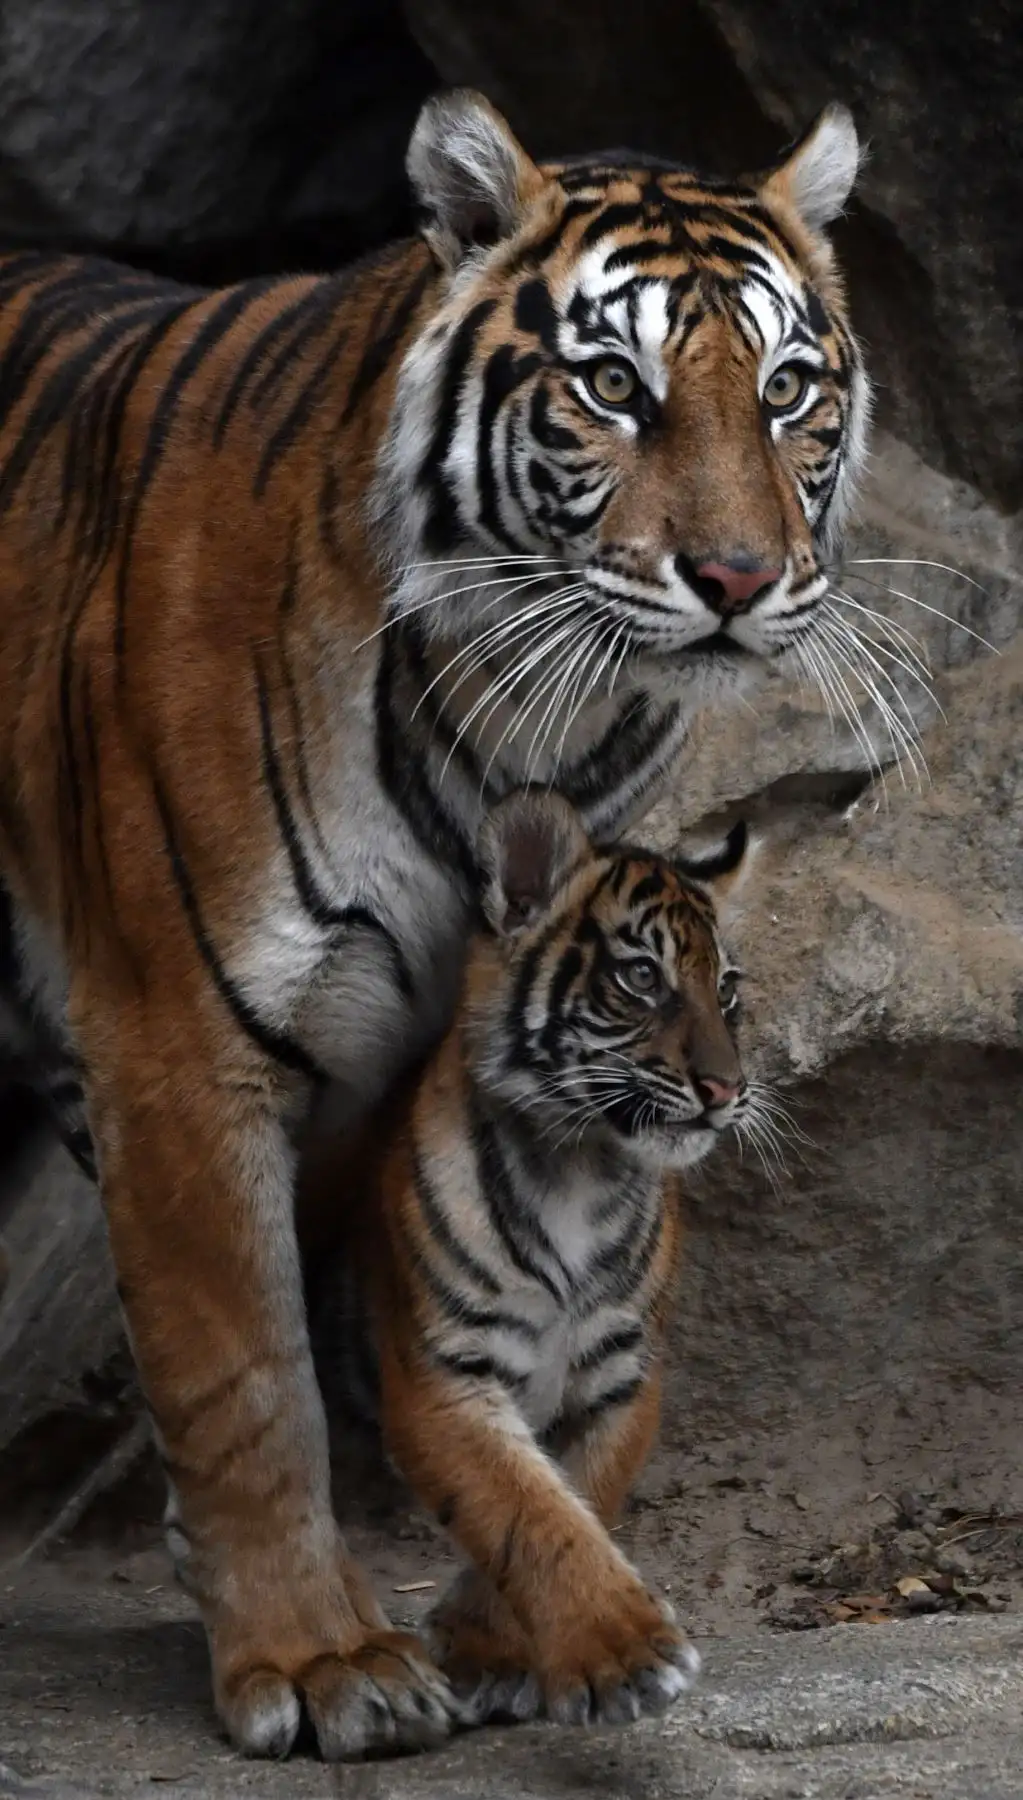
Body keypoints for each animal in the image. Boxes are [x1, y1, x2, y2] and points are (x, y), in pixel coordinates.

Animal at [306, 788, 751, 1730]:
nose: (728, 1091)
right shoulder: (440, 1373)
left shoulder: (623, 1377)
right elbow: (524, 1511)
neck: (579, 1167)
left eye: (727, 990)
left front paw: (488, 1649)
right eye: (642, 977)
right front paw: (626, 1657)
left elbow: (575, 1497)